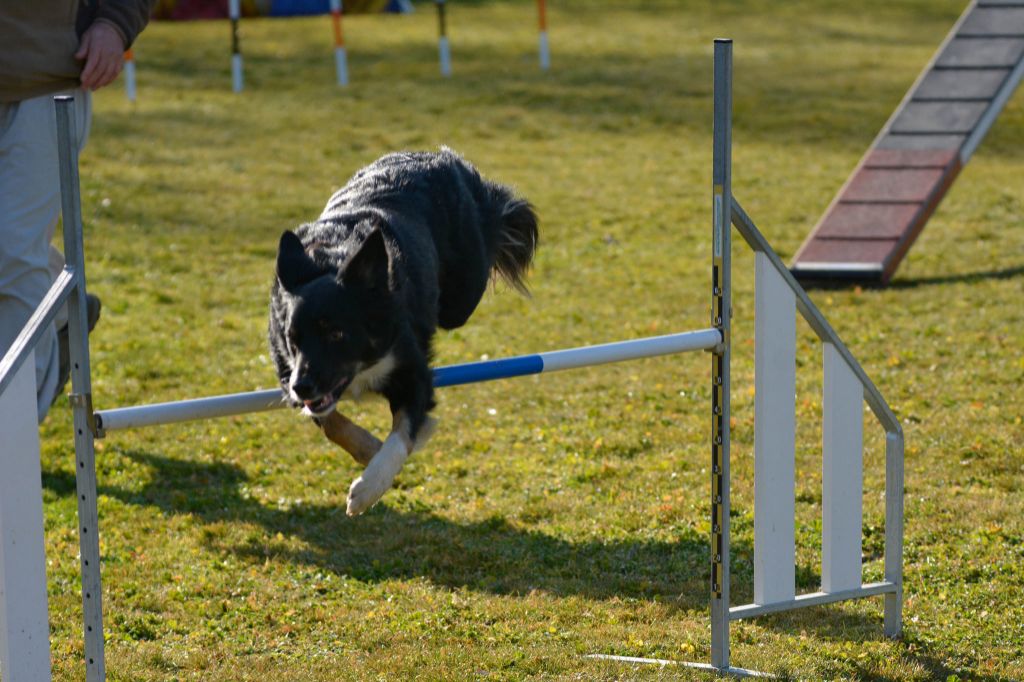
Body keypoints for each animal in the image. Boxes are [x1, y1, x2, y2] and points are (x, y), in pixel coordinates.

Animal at [268, 146, 540, 512]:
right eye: (292, 339)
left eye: (337, 334)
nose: (302, 387)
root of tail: (437, 155)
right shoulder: (289, 372)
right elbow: (330, 422)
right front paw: (368, 447)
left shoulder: (413, 371)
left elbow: (402, 434)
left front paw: (369, 486)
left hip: (461, 297)